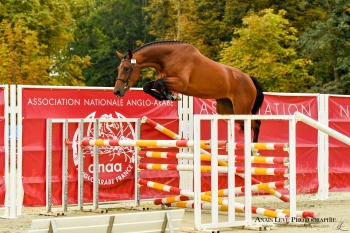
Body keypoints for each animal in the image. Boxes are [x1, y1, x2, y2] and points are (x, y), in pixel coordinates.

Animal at [113, 40, 264, 142]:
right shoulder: (167, 80)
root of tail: (249, 78)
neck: (168, 57)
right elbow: (148, 86)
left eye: (126, 68)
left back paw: (253, 149)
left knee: (256, 124)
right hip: (227, 110)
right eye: (118, 68)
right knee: (248, 124)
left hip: (241, 109)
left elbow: (157, 84)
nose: (117, 92)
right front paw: (168, 95)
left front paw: (171, 96)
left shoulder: (181, 83)